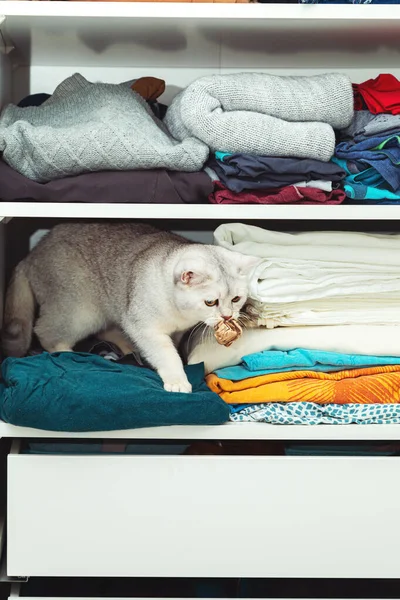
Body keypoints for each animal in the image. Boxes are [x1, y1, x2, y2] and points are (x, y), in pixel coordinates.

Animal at [1, 223, 258, 392]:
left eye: (236, 299)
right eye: (210, 302)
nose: (227, 316)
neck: (180, 314)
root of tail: (31, 254)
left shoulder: (176, 332)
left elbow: (173, 346)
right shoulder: (144, 327)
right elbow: (166, 354)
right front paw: (177, 379)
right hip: (80, 311)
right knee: (44, 331)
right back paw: (66, 353)